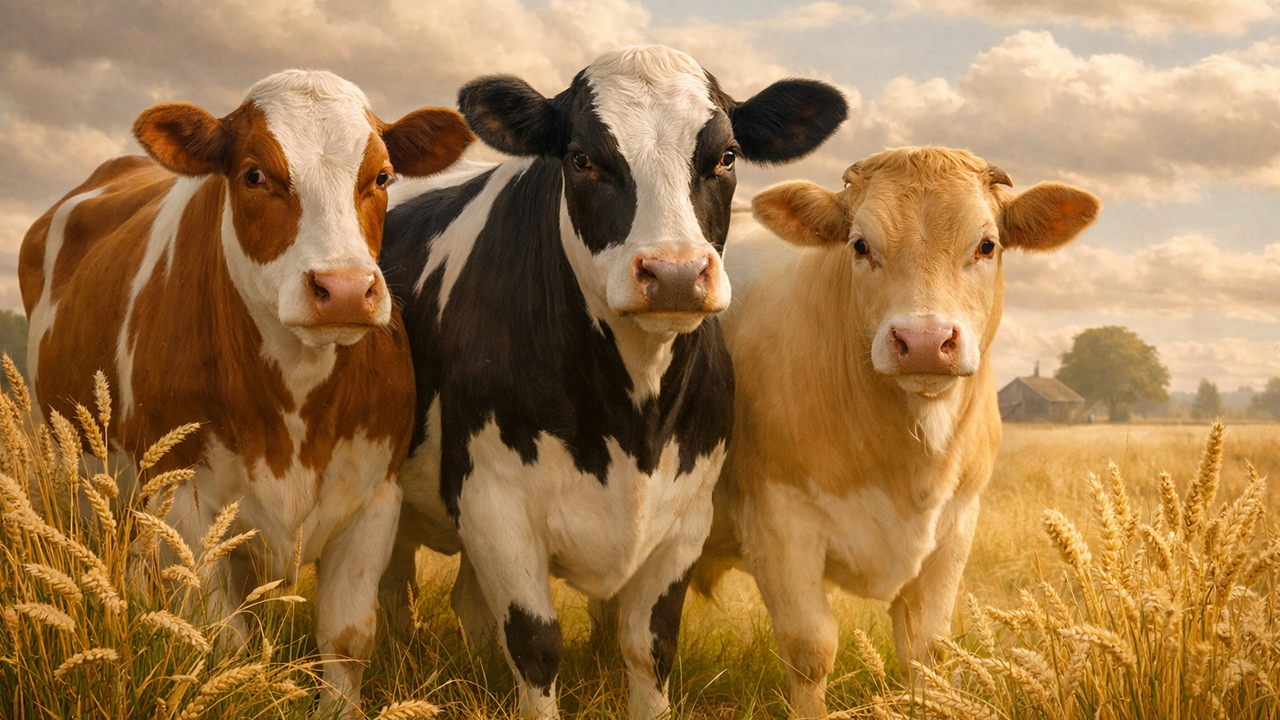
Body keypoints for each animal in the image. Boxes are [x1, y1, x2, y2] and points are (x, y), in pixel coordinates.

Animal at [18, 70, 474, 715]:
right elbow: (222, 641)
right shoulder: (184, 500)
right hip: (79, 480)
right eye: (255, 174)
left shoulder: (374, 497)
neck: (295, 408)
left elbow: (346, 638)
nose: (343, 289)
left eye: (382, 176)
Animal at [376, 45, 848, 719]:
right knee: (395, 595)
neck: (632, 422)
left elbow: (650, 647)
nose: (674, 273)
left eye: (727, 155)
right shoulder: (493, 502)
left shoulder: (685, 515)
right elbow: (537, 644)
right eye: (581, 158)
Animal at [692, 147, 1100, 718]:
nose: (924, 341)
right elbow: (811, 649)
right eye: (860, 245)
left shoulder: (956, 526)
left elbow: (927, 649)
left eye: (987, 245)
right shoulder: (777, 520)